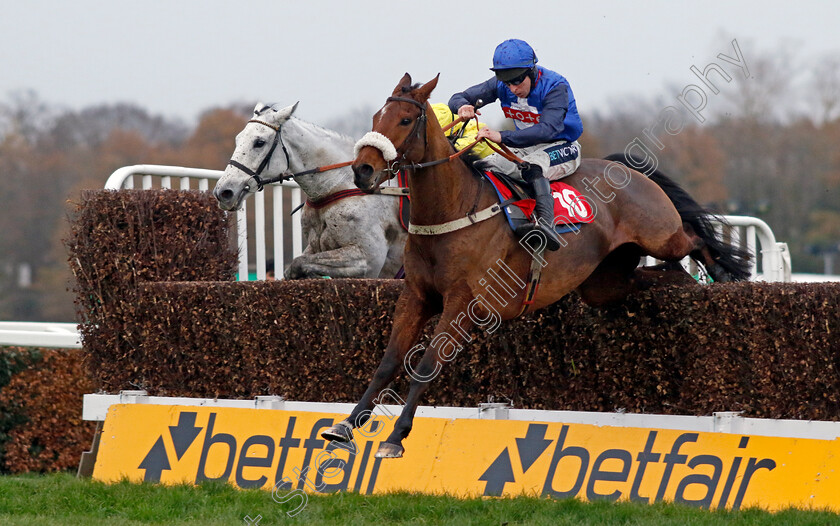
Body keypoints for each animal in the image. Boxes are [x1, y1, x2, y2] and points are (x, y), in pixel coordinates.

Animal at [212, 102, 406, 280]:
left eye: (259, 142)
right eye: (238, 139)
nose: (224, 192)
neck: (338, 185)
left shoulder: (367, 259)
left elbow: (299, 264)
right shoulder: (315, 247)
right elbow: (295, 267)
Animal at [320, 73, 748, 458]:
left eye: (406, 120)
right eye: (377, 117)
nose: (363, 170)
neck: (453, 209)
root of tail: (630, 169)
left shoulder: (463, 303)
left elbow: (425, 366)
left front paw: (395, 437)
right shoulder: (417, 294)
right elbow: (388, 362)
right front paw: (346, 425)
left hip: (660, 234)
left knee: (693, 237)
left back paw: (725, 273)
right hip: (604, 281)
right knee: (658, 277)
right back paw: (687, 284)